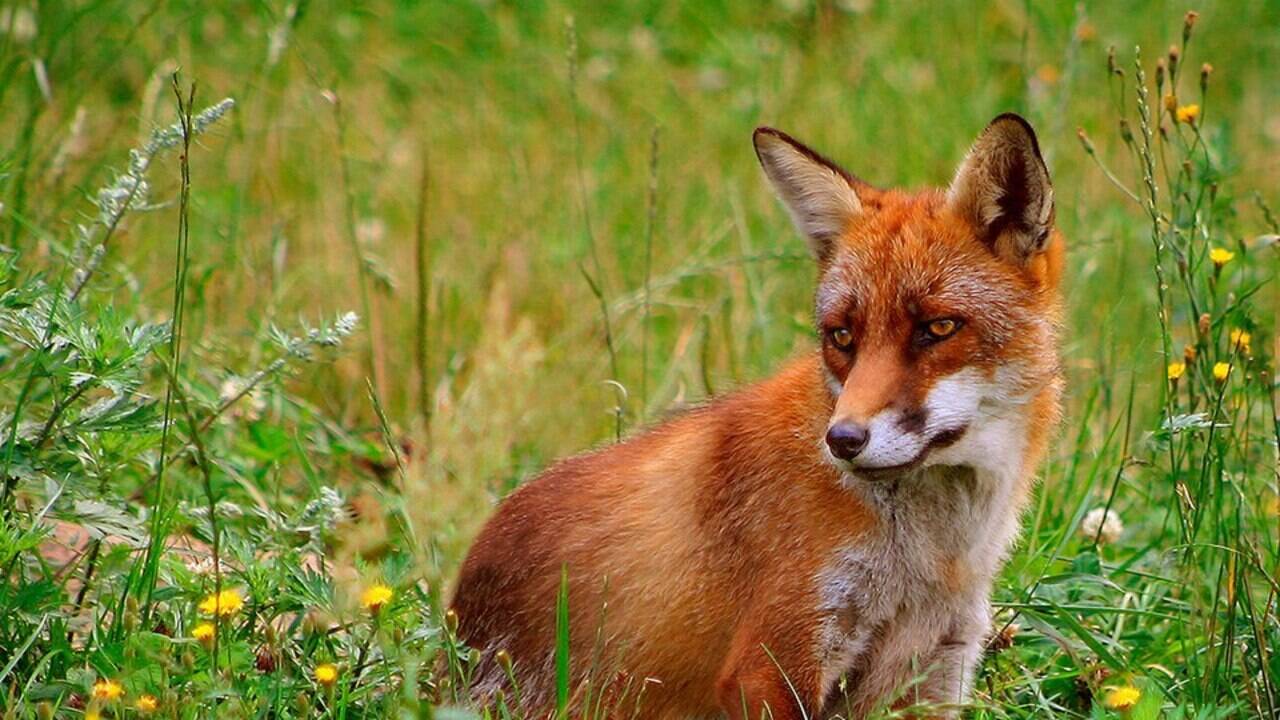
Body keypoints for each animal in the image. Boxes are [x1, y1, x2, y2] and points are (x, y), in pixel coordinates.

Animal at [450, 113, 1064, 720]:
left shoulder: (931, 671)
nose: (842, 440)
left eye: (937, 328)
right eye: (842, 336)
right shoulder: (771, 661)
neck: (930, 560)